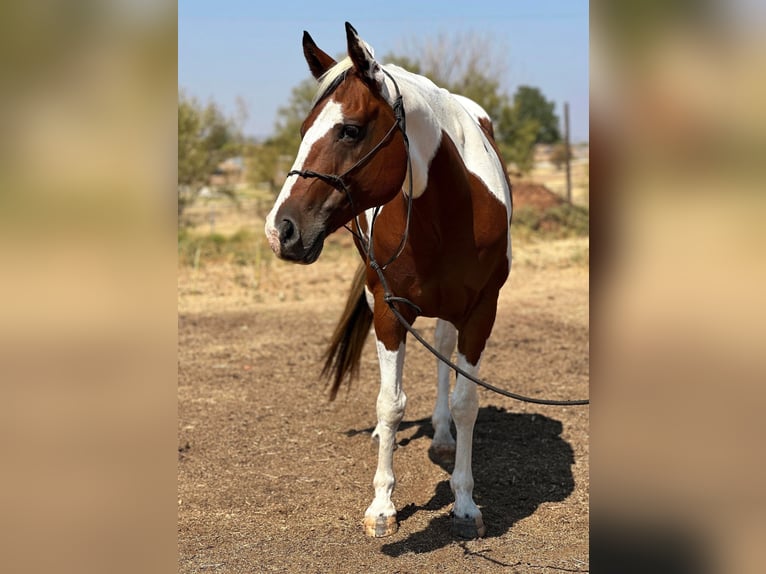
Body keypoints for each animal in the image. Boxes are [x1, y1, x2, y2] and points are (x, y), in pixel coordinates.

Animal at [268, 22, 512, 544]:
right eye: (302, 130)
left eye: (351, 130)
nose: (281, 230)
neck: (448, 213)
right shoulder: (388, 307)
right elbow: (390, 402)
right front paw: (382, 506)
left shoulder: (481, 311)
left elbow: (466, 402)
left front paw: (465, 503)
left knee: (443, 353)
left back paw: (441, 436)